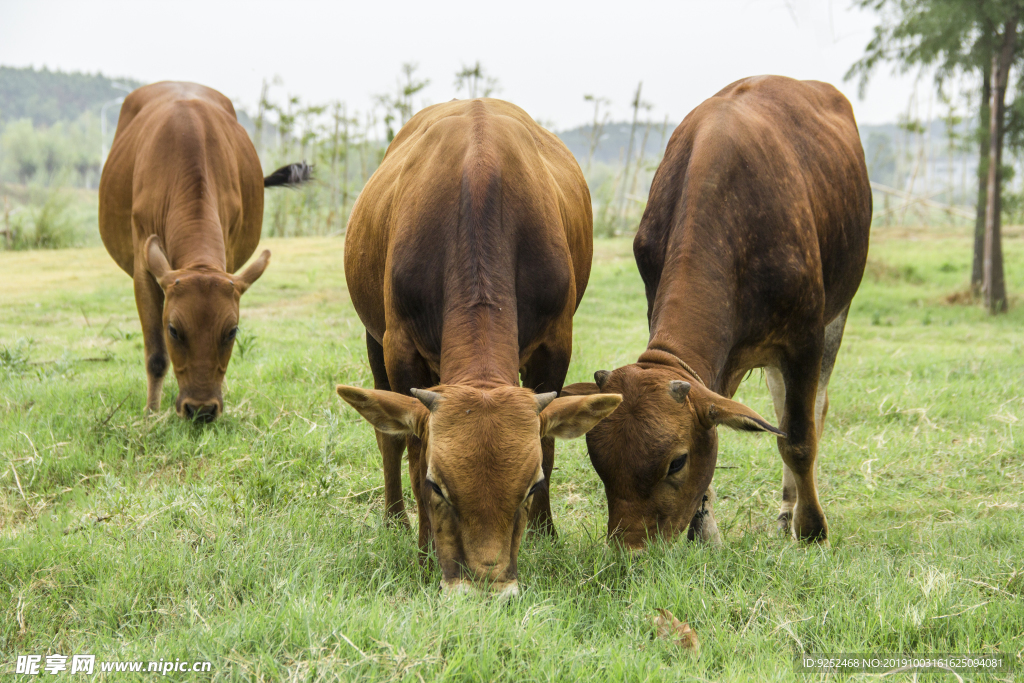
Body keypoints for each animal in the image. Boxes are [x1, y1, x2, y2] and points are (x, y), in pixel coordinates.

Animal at [99, 80, 307, 421]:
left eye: (232, 331)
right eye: (173, 330)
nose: (201, 409)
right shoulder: (144, 267)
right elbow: (156, 355)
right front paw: (151, 415)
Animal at [339, 98, 618, 593]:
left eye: (530, 486)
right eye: (438, 487)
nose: (487, 585)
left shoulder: (556, 343)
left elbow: (548, 443)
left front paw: (546, 533)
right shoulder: (399, 346)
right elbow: (412, 450)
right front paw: (425, 553)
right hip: (373, 339)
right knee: (387, 438)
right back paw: (393, 519)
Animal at [569, 74, 872, 548]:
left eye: (676, 462)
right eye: (600, 464)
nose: (630, 549)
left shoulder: (804, 337)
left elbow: (799, 438)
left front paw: (812, 529)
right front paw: (704, 529)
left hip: (837, 313)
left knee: (810, 411)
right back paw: (784, 509)